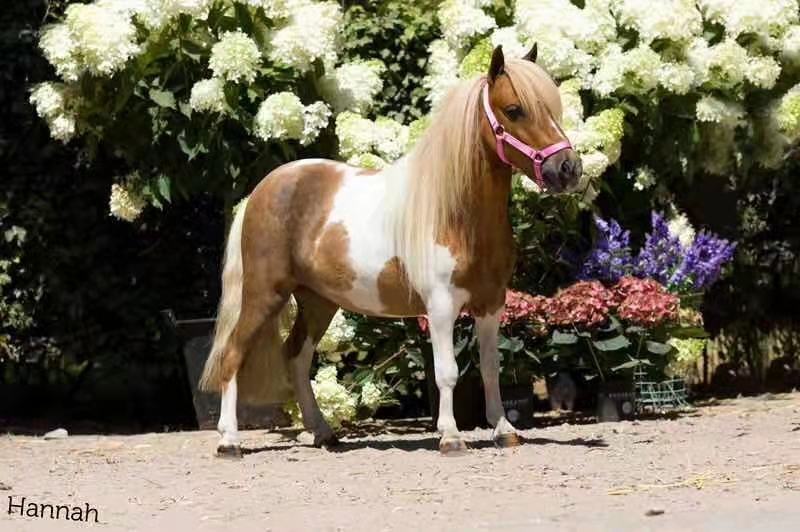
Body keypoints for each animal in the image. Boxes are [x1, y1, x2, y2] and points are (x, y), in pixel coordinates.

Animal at [199, 44, 582, 456]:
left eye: (552, 108)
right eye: (514, 110)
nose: (569, 169)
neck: (457, 216)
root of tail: (263, 189)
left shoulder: (491, 304)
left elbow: (490, 368)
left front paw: (503, 429)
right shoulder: (441, 305)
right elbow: (447, 372)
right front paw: (450, 436)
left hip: (318, 301)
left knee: (297, 357)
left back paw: (323, 433)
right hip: (264, 294)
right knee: (233, 355)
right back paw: (230, 441)